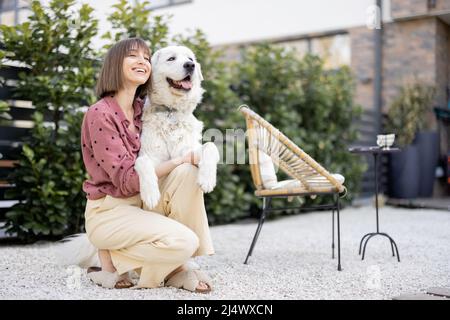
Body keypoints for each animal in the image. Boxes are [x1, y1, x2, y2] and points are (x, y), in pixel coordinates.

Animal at [135, 45, 220, 210]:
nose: (190, 65)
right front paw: (150, 194)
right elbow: (142, 161)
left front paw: (207, 179)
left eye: (190, 58)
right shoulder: (151, 156)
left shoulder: (186, 151)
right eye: (171, 58)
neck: (171, 111)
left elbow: (210, 146)